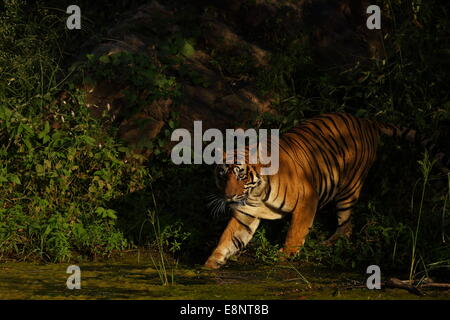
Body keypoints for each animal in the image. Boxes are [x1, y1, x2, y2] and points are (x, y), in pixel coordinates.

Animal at [205, 112, 450, 270]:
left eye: (241, 175)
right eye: (222, 175)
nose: (229, 196)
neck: (255, 195)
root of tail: (366, 121)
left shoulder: (307, 199)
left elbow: (295, 233)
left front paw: (284, 258)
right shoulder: (245, 214)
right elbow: (229, 239)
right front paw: (209, 265)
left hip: (348, 191)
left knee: (347, 226)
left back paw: (329, 243)